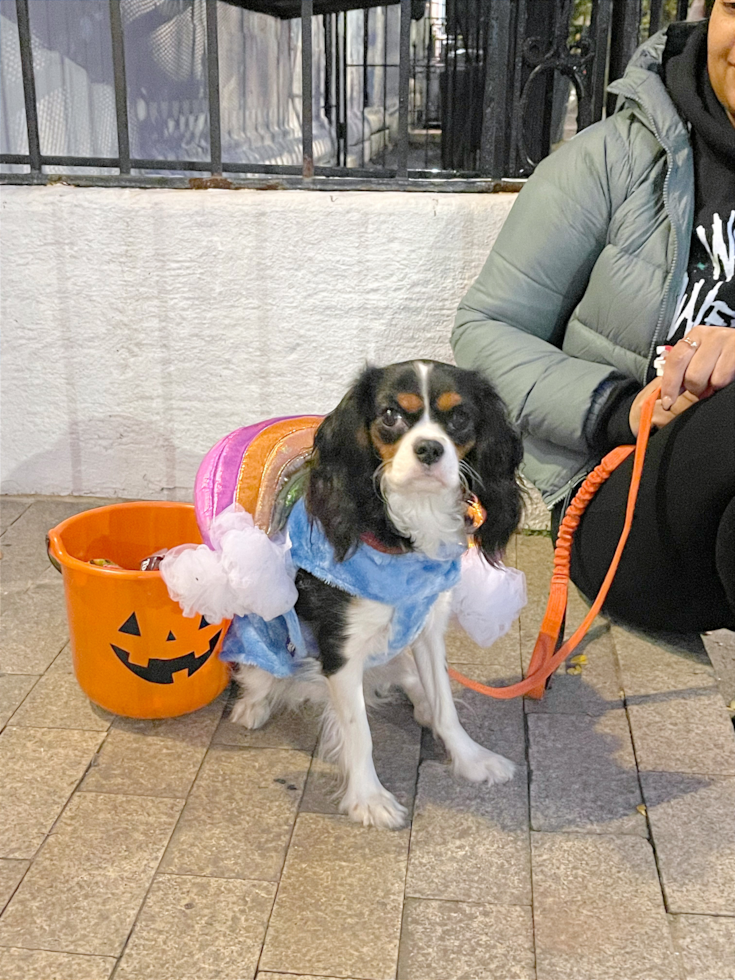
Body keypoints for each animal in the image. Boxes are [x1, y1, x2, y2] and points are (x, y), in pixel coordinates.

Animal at [230, 360, 524, 828]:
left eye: (460, 417)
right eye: (390, 415)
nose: (429, 449)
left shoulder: (426, 627)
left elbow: (445, 702)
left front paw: (471, 759)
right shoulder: (341, 648)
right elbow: (359, 731)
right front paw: (369, 799)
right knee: (258, 672)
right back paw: (253, 705)